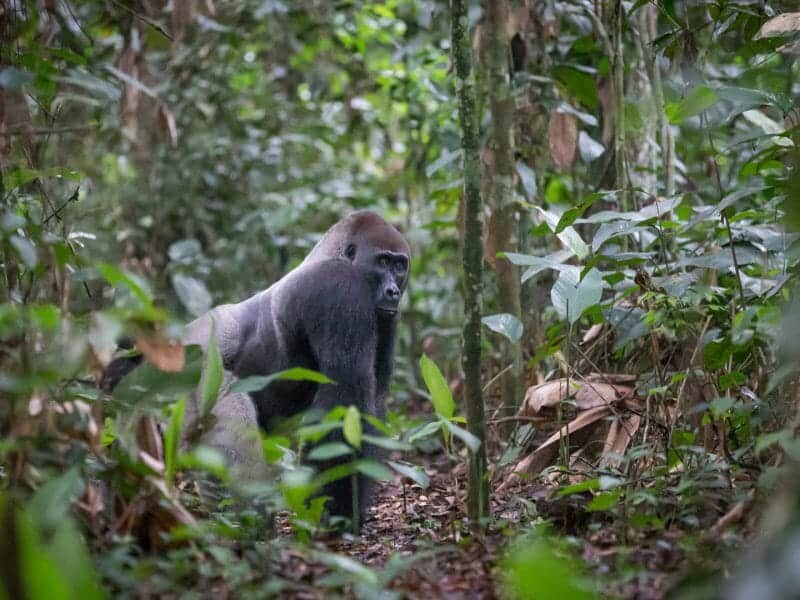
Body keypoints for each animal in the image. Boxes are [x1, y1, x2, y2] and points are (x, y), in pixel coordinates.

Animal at [104, 211, 410, 521]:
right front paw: (334, 513)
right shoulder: (340, 287)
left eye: (400, 265)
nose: (393, 291)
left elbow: (372, 401)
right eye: (382, 261)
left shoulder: (386, 316)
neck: (331, 254)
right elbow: (343, 398)